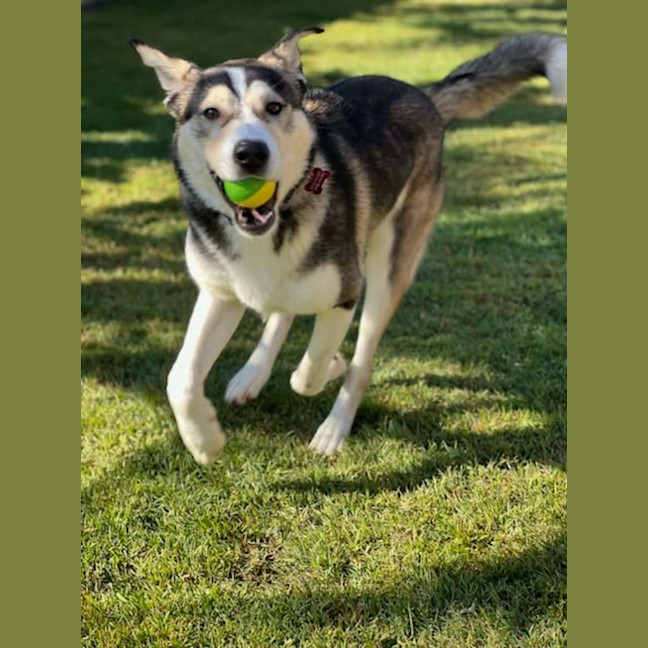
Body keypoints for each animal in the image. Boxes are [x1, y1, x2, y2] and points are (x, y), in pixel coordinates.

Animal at [131, 28, 567, 465]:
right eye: (210, 113)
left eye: (274, 107)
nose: (251, 152)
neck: (275, 224)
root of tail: (422, 95)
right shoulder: (220, 294)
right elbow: (179, 380)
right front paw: (204, 441)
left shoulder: (345, 292)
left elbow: (308, 375)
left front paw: (332, 366)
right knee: (280, 311)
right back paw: (252, 375)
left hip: (388, 269)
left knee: (362, 359)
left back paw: (333, 426)